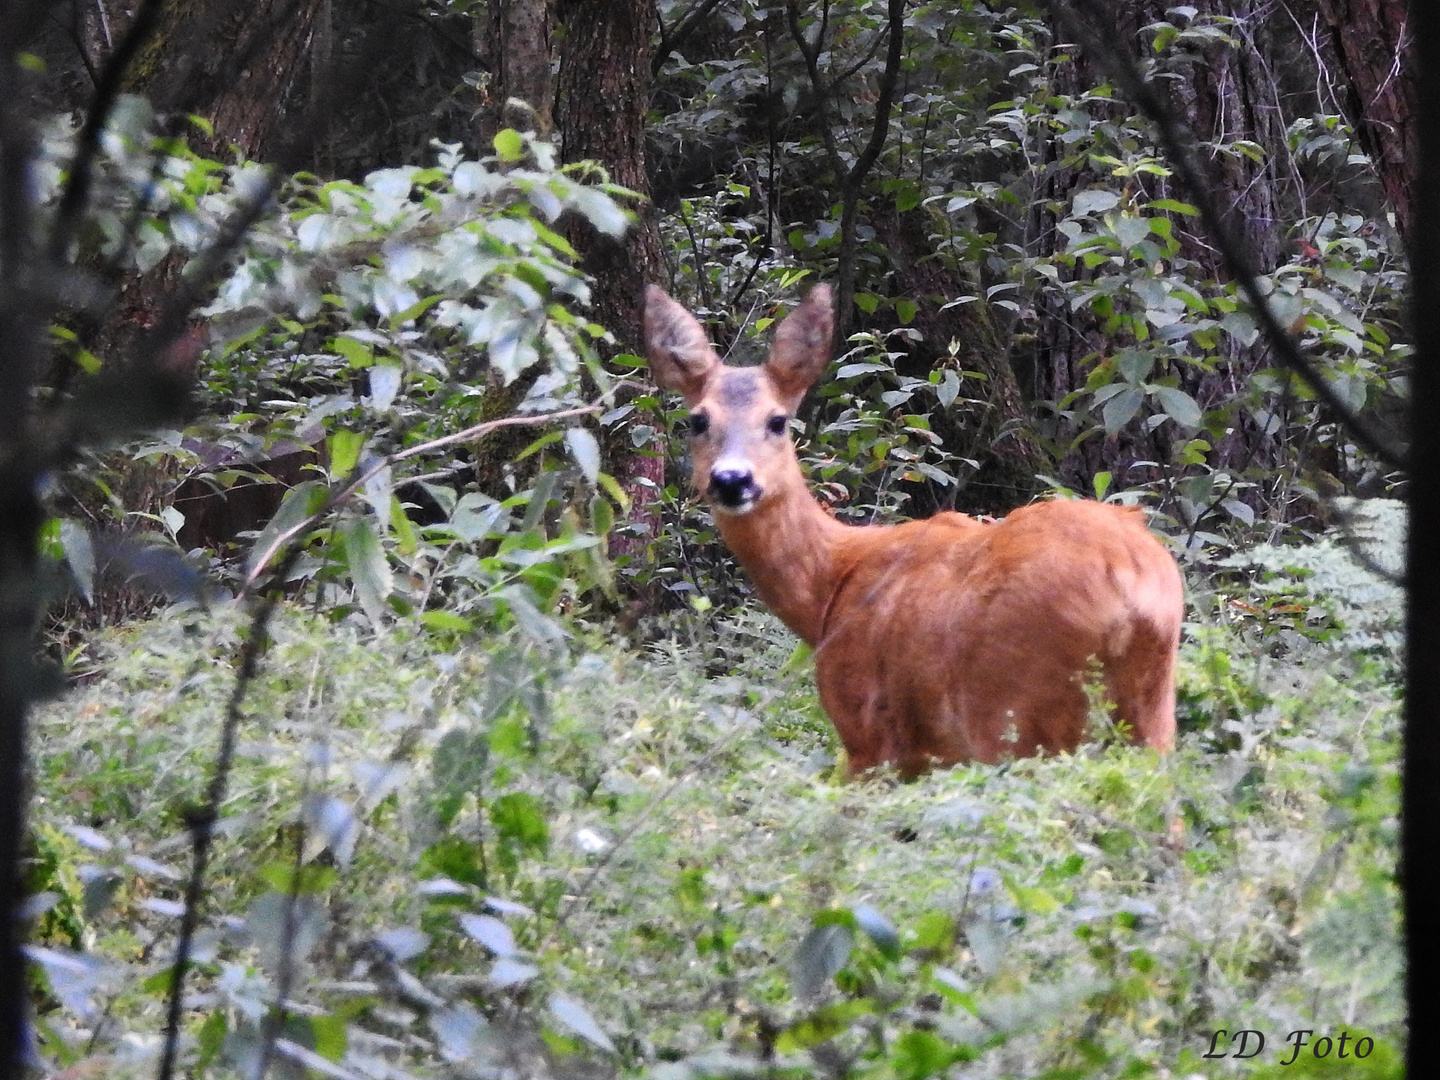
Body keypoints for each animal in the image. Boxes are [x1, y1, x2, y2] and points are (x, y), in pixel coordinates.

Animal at [648, 285, 1186, 777]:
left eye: (777, 420)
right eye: (697, 420)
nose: (731, 480)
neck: (830, 585)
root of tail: (1130, 583)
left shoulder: (866, 733)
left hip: (1017, 711)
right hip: (1153, 715)